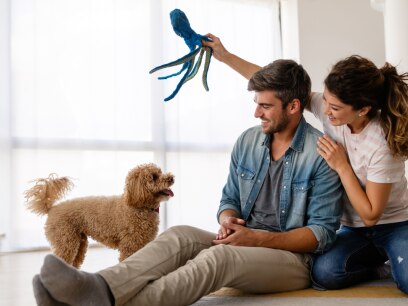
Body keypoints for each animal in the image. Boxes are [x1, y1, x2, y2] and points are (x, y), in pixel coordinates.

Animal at [23, 163, 174, 268]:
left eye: (160, 172)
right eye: (154, 177)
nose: (171, 178)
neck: (138, 206)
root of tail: (52, 209)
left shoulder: (144, 243)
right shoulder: (130, 244)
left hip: (79, 242)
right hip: (65, 241)